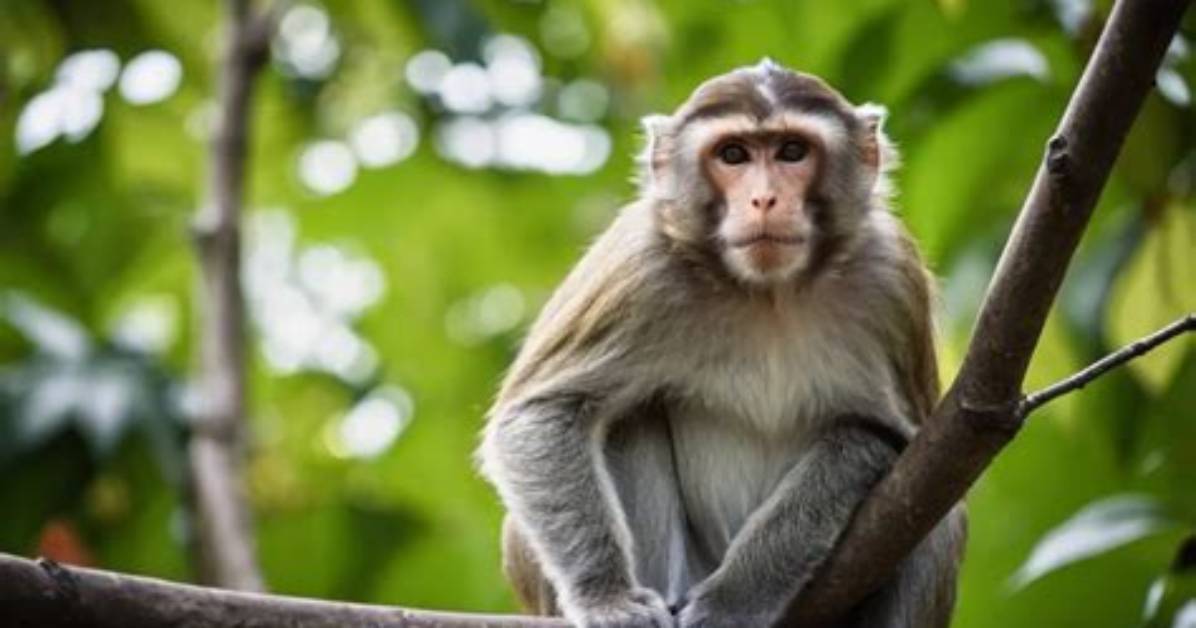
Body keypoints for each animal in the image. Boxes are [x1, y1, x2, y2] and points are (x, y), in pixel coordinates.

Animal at [477, 59, 966, 628]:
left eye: (791, 151)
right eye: (733, 154)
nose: (764, 199)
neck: (769, 294)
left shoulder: (892, 280)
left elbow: (885, 439)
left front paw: (736, 600)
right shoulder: (640, 265)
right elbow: (542, 415)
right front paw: (607, 598)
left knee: (938, 519)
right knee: (622, 417)